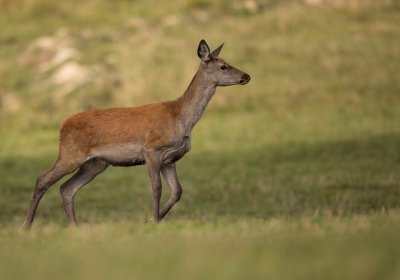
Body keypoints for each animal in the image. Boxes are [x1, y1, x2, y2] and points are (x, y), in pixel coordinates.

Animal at [21, 39, 250, 228]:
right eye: (223, 66)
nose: (246, 76)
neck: (181, 118)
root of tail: (62, 124)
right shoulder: (152, 150)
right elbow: (156, 188)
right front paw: (154, 220)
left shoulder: (170, 159)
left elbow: (177, 191)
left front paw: (151, 219)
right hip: (71, 154)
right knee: (43, 178)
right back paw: (26, 225)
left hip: (95, 164)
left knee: (66, 188)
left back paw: (74, 227)